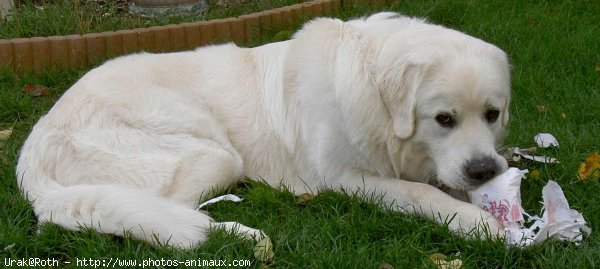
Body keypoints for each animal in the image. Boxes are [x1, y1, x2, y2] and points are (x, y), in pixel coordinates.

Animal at [16, 12, 508, 247]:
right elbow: (421, 193)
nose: (484, 170)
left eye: (492, 114)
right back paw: (242, 236)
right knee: (170, 215)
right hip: (214, 155)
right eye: (444, 119)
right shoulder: (343, 179)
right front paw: (478, 224)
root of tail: (32, 151)